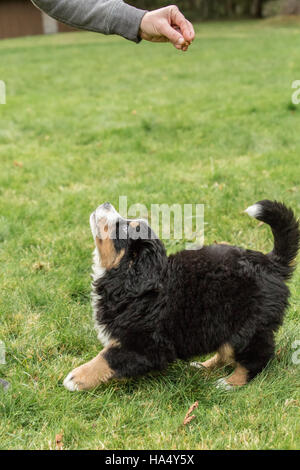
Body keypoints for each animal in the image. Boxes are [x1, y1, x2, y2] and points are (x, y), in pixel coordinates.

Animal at [62, 200, 298, 392]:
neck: (127, 279)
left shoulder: (144, 343)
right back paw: (202, 367)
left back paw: (229, 383)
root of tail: (270, 263)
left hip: (246, 327)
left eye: (122, 227)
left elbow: (107, 358)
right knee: (225, 353)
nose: (107, 203)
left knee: (257, 357)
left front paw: (76, 378)